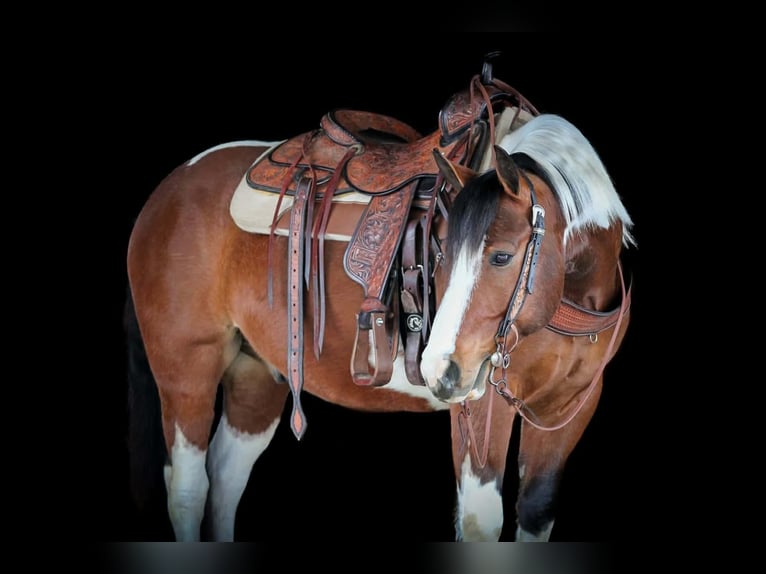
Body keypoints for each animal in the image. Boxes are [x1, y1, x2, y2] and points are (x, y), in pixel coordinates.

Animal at [124, 65, 635, 541]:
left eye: (503, 256)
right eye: (443, 251)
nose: (441, 371)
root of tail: (168, 190)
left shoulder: (569, 409)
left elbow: (536, 511)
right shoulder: (482, 408)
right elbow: (480, 523)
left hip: (257, 372)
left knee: (226, 478)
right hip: (186, 369)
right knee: (189, 489)